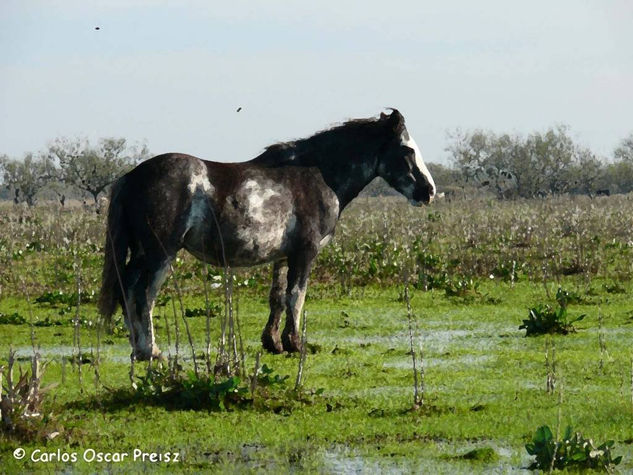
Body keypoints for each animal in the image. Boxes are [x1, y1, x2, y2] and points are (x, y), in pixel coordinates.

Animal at [99, 108, 434, 360]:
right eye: (407, 149)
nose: (429, 191)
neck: (316, 176)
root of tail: (131, 177)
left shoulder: (283, 256)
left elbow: (277, 297)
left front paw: (273, 342)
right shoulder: (305, 252)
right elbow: (296, 296)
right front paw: (295, 344)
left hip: (145, 253)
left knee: (128, 287)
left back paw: (138, 347)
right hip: (160, 254)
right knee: (143, 293)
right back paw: (149, 350)